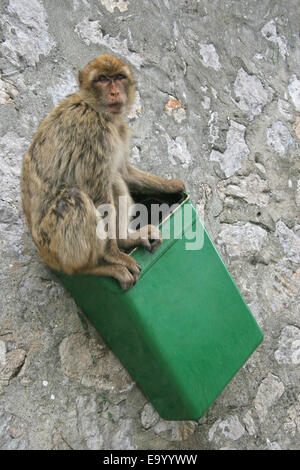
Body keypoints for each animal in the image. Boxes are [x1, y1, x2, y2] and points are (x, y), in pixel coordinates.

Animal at [21, 55, 185, 290]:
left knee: (114, 180)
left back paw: (126, 239)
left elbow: (124, 172)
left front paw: (172, 185)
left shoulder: (121, 130)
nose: (115, 92)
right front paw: (115, 255)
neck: (98, 110)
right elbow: (98, 194)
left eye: (119, 78)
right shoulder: (93, 132)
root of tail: (43, 253)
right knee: (76, 197)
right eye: (102, 79)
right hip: (55, 246)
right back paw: (96, 266)